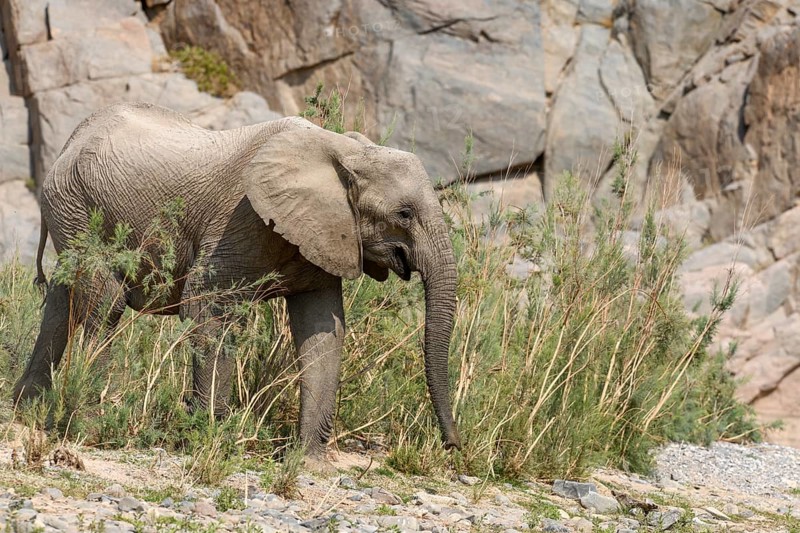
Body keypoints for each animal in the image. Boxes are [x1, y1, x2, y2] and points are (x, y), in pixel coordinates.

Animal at [12, 102, 461, 457]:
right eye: (404, 213)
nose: (453, 446)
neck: (344, 149)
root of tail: (72, 140)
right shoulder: (242, 217)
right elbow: (207, 309)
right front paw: (205, 435)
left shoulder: (324, 234)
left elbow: (323, 331)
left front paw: (308, 461)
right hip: (78, 206)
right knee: (104, 303)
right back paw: (85, 421)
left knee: (61, 301)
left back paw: (24, 408)